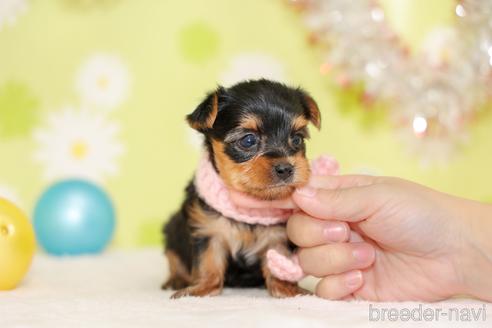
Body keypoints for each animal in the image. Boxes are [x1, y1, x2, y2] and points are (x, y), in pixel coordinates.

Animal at [163, 79, 320, 298]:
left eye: (297, 139)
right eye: (248, 140)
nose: (286, 168)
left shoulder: (278, 237)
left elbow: (278, 259)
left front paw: (287, 289)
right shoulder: (207, 229)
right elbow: (208, 261)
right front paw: (201, 289)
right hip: (172, 230)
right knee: (174, 256)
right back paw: (176, 279)